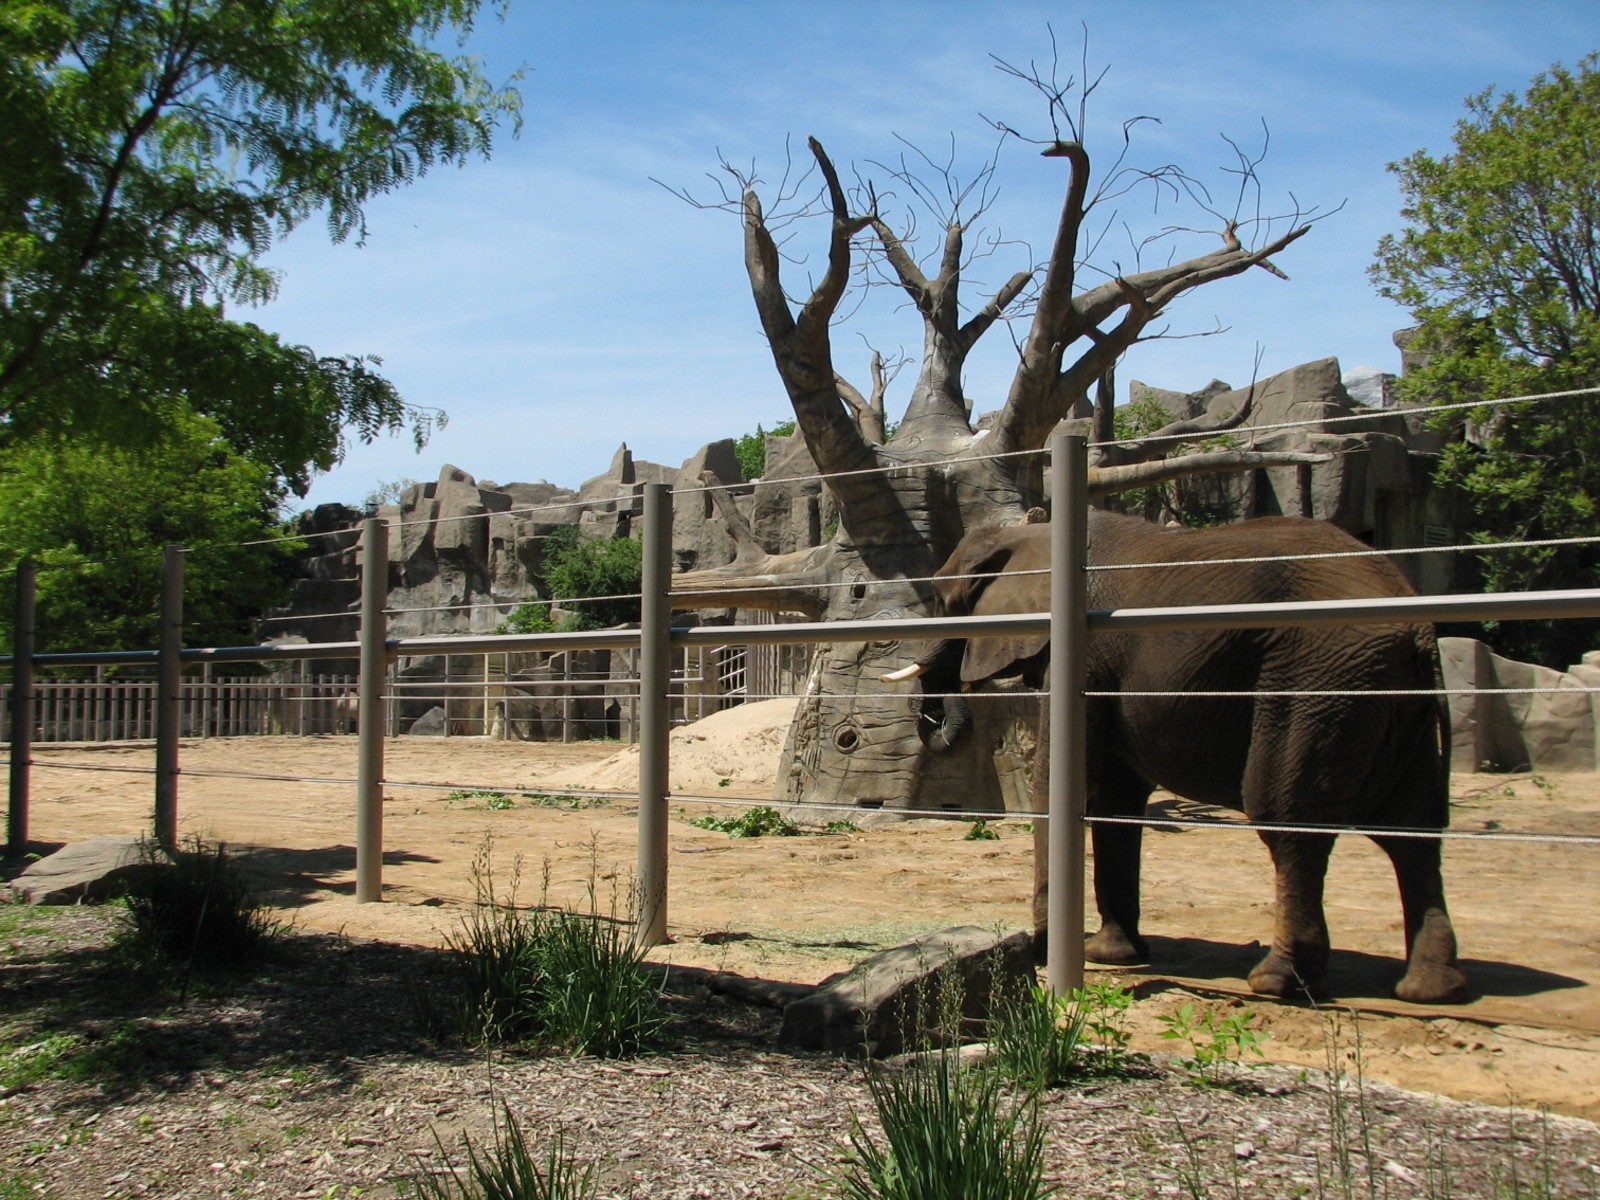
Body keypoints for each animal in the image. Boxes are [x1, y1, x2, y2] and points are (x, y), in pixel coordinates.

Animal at [887, 511, 1468, 1005]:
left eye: (942, 599)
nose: (936, 715)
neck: (1035, 532)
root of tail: (1419, 631)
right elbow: (1116, 801)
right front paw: (1111, 955)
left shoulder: (1084, 660)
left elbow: (1069, 784)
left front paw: (1044, 949)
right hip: (1389, 700)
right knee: (1412, 832)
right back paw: (1428, 989)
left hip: (1318, 685)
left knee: (1288, 821)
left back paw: (1278, 983)